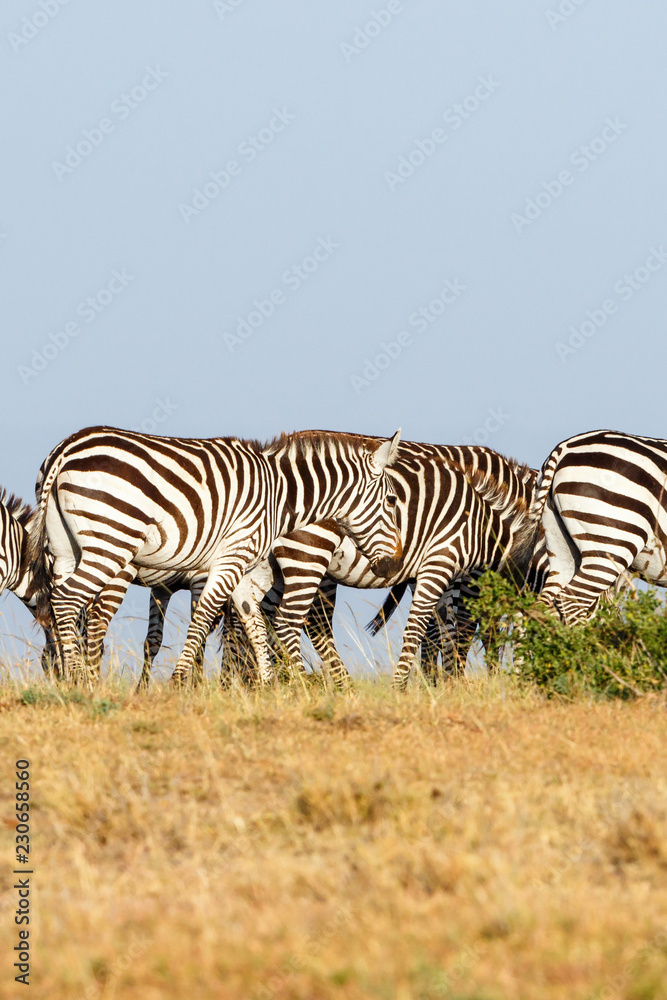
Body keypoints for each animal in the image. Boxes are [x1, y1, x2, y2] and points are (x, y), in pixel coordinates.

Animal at [27, 425, 403, 685]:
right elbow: (206, 618)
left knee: (63, 603)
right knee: (70, 600)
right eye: (392, 501)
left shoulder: (245, 569)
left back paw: (71, 678)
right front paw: (180, 681)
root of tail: (66, 447)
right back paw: (78, 680)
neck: (280, 494)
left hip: (64, 549)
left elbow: (252, 622)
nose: (395, 564)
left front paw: (272, 686)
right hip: (111, 540)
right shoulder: (231, 558)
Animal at [214, 442, 539, 690]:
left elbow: (441, 629)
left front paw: (438, 683)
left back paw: (253, 683)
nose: (528, 682)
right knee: (297, 621)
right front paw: (428, 684)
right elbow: (452, 629)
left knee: (254, 616)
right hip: (310, 554)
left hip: (273, 566)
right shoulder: (453, 570)